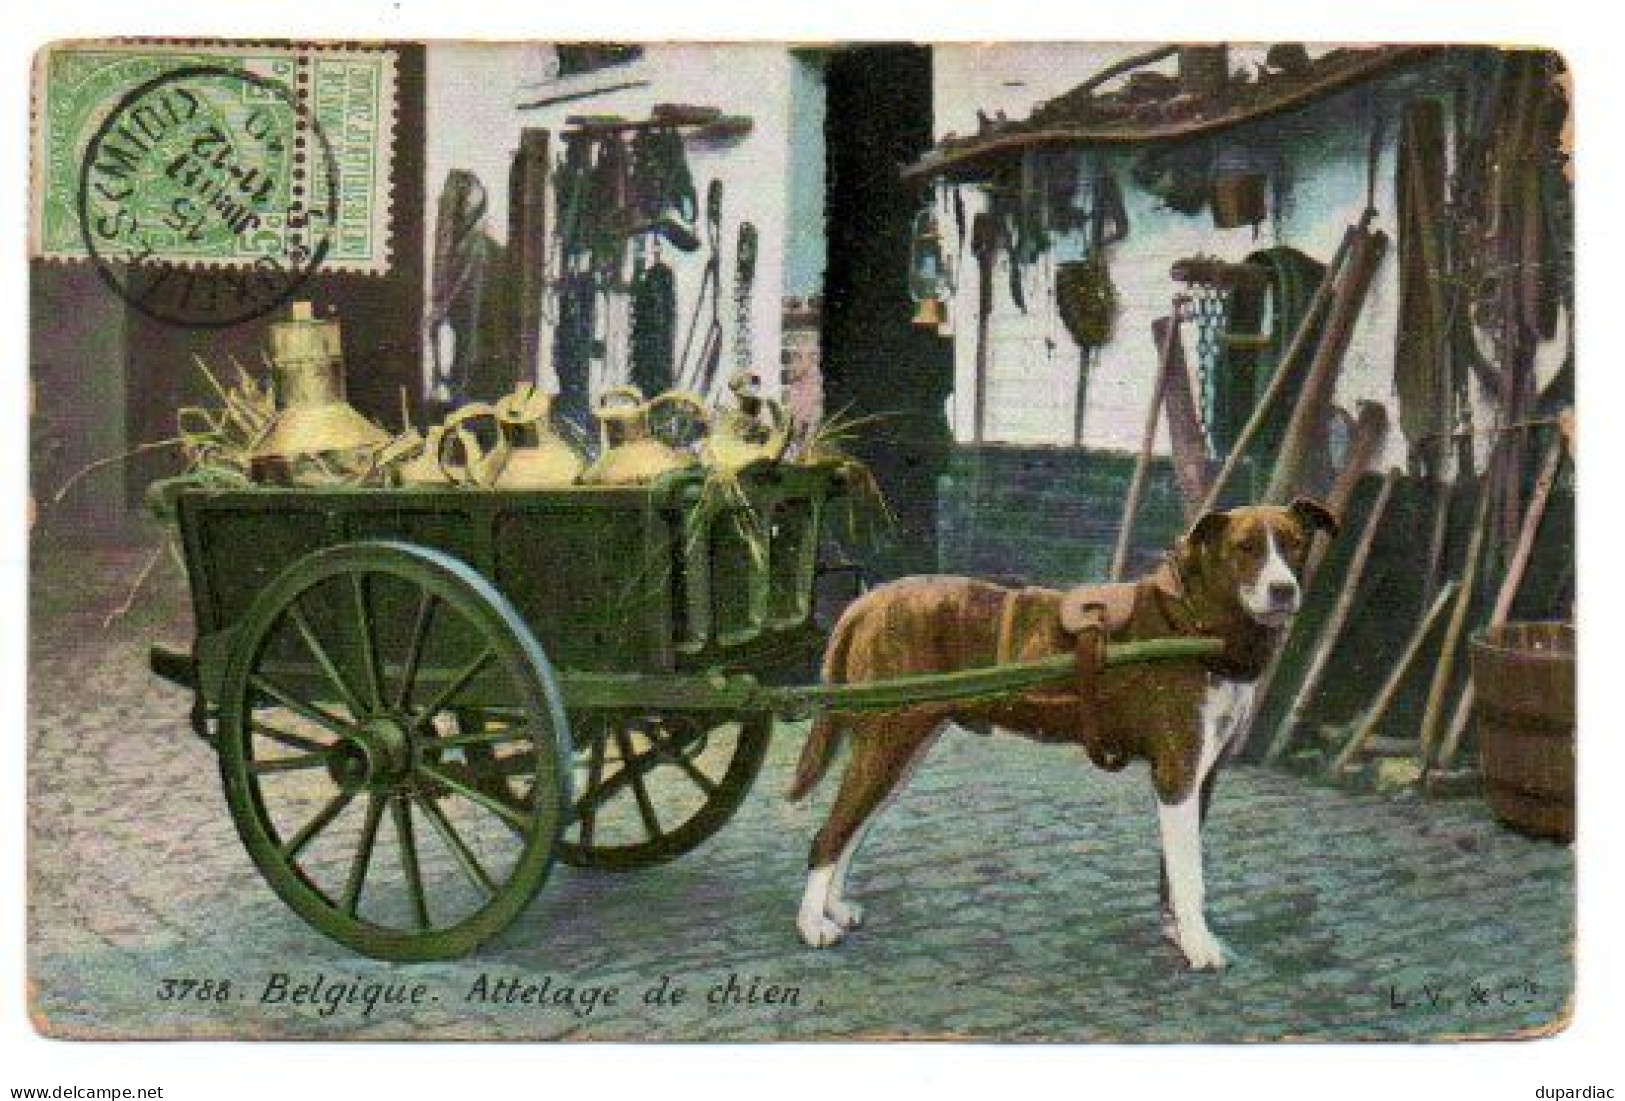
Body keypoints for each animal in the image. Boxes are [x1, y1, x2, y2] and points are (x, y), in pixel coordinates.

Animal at [783, 503, 1332, 974]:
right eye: (1246, 548)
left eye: (1295, 544)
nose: (1283, 590)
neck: (1193, 623)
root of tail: (867, 600)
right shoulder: (1177, 774)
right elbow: (1188, 872)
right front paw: (1199, 945)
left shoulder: (1201, 777)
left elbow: (1172, 873)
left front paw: (1178, 934)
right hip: (888, 745)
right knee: (830, 834)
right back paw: (812, 925)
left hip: (901, 752)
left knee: (851, 830)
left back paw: (833, 907)